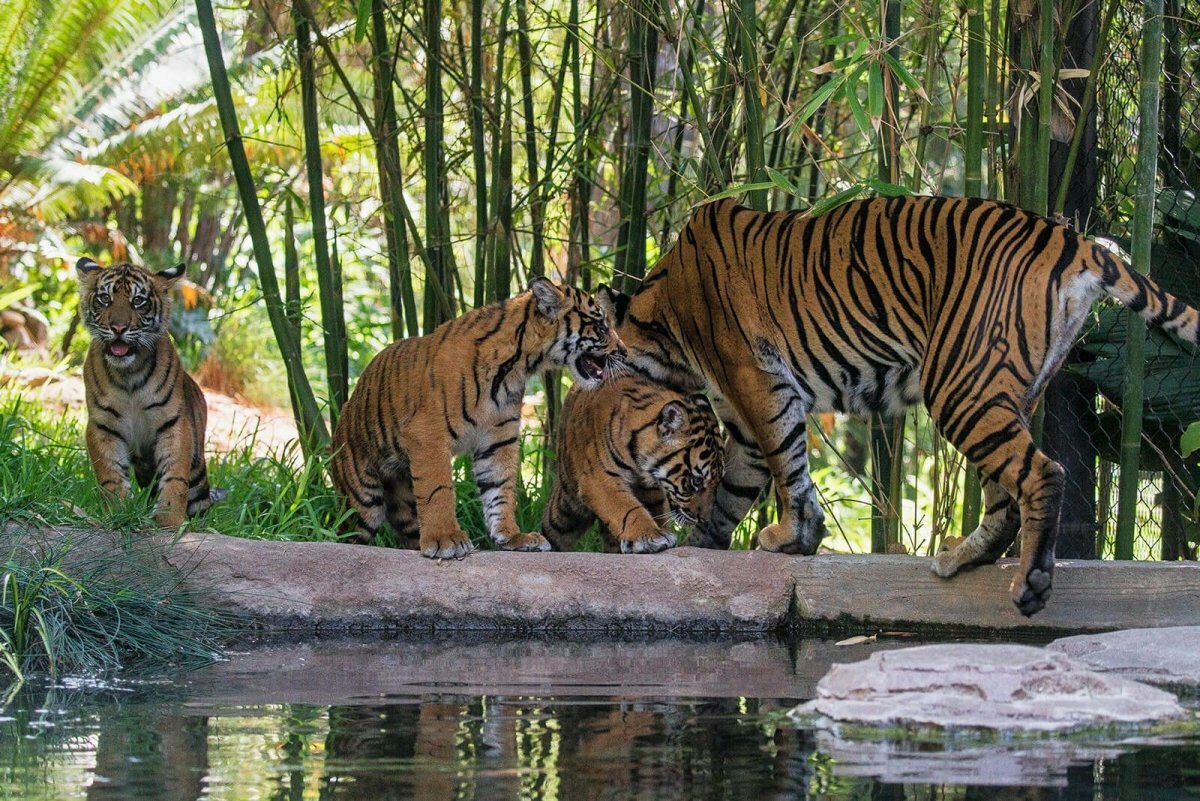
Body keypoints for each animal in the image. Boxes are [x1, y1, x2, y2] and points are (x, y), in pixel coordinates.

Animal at [76, 257, 224, 527]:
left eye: (138, 301)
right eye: (104, 298)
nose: (119, 327)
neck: (129, 375)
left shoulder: (174, 423)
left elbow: (175, 476)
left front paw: (169, 520)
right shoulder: (103, 426)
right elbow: (111, 474)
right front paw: (118, 511)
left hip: (198, 470)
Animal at [331, 277, 625, 559]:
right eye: (601, 328)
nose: (623, 352)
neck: (515, 366)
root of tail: (347, 407)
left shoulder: (498, 439)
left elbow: (500, 488)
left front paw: (513, 537)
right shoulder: (428, 435)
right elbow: (438, 490)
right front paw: (445, 540)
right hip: (363, 502)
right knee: (346, 532)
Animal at [541, 374, 725, 554]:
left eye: (718, 481)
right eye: (697, 481)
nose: (704, 521)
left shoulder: (651, 491)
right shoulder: (598, 479)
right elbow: (627, 508)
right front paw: (650, 536)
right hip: (566, 510)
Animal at [599, 196, 1200, 616]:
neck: (668, 317)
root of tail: (1068, 237)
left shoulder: (759, 385)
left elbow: (786, 466)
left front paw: (789, 537)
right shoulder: (743, 419)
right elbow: (737, 488)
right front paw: (706, 544)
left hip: (960, 385)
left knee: (1043, 473)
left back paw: (1030, 583)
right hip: (1004, 390)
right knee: (1004, 493)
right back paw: (962, 558)